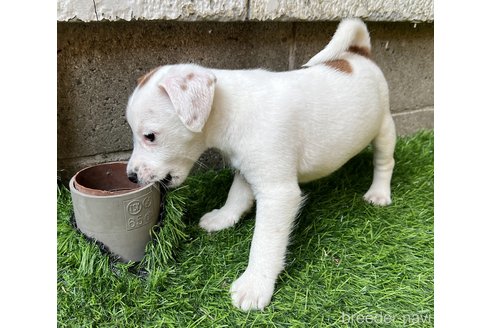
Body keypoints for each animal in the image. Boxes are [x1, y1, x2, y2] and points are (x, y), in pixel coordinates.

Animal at [126, 19, 396, 312]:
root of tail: (359, 54)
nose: (130, 176)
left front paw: (254, 285)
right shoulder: (248, 168)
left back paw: (379, 193)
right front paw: (223, 218)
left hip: (384, 127)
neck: (231, 109)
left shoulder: (278, 193)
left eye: (150, 136)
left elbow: (264, 242)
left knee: (385, 161)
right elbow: (236, 196)